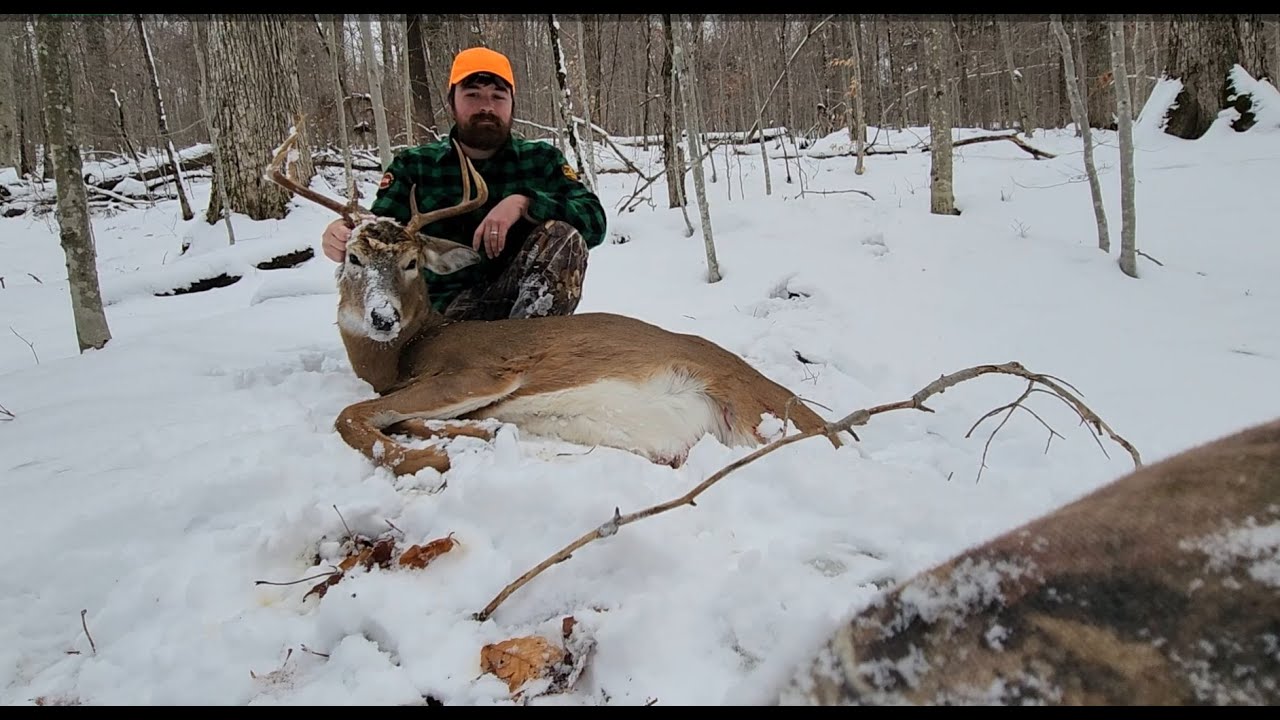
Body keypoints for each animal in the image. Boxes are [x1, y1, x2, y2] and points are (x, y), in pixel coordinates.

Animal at [265, 125, 843, 477]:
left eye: (411, 263)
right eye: (353, 258)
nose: (382, 317)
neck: (404, 352)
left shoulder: (478, 372)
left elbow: (351, 415)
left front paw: (434, 455)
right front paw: (477, 432)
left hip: (756, 410)